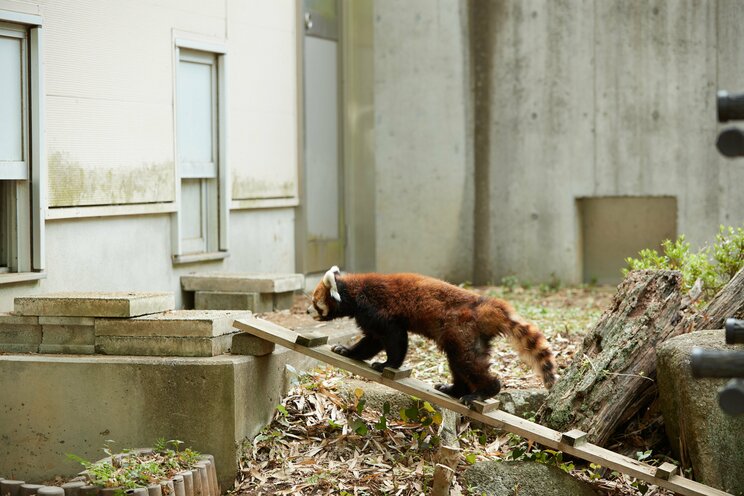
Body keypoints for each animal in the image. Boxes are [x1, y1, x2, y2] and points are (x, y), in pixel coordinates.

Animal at [306, 268, 556, 404]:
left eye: (314, 302)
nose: (307, 311)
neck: (355, 290)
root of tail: (484, 305)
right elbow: (372, 341)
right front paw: (347, 351)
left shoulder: (377, 309)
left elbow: (394, 338)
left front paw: (387, 364)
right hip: (468, 338)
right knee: (461, 363)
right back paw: (455, 389)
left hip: (460, 330)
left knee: (467, 363)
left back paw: (484, 391)